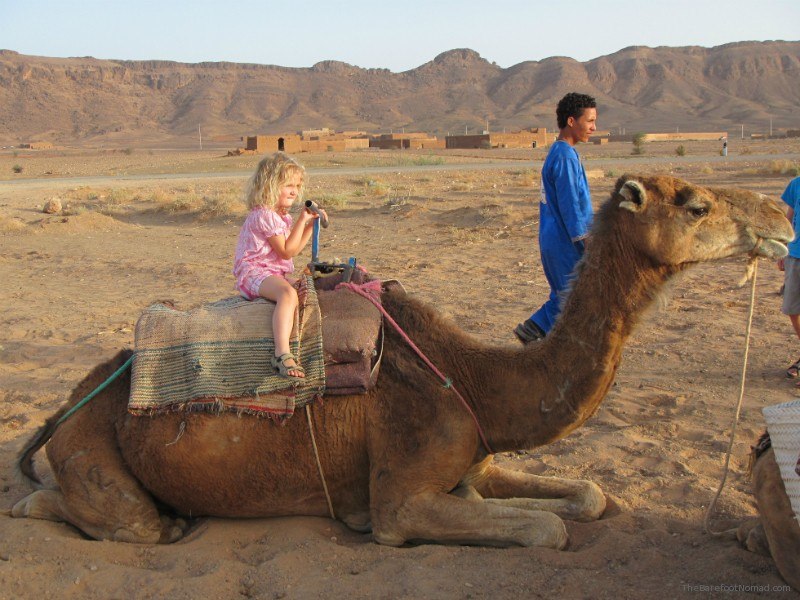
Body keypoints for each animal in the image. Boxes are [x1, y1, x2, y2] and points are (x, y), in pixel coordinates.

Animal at [12, 173, 792, 548]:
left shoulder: (475, 455)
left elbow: (588, 495)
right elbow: (546, 527)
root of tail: (70, 405)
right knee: (121, 519)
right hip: (97, 455)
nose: (784, 218)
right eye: (694, 204)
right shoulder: (400, 497)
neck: (475, 380)